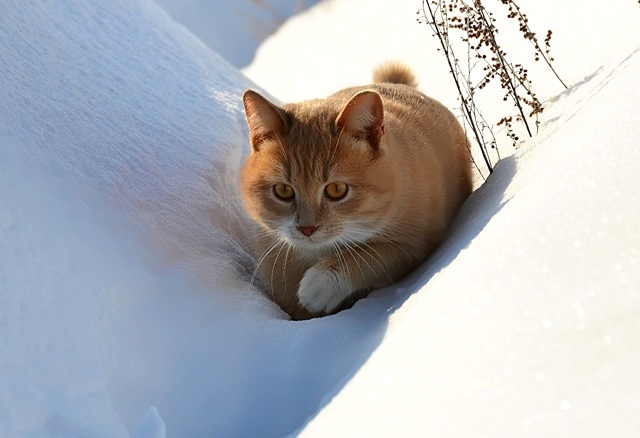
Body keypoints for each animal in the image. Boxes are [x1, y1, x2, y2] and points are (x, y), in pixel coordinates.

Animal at [238, 61, 472, 320]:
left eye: (337, 189)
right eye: (284, 190)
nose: (307, 228)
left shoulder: (417, 245)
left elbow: (371, 255)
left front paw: (321, 282)